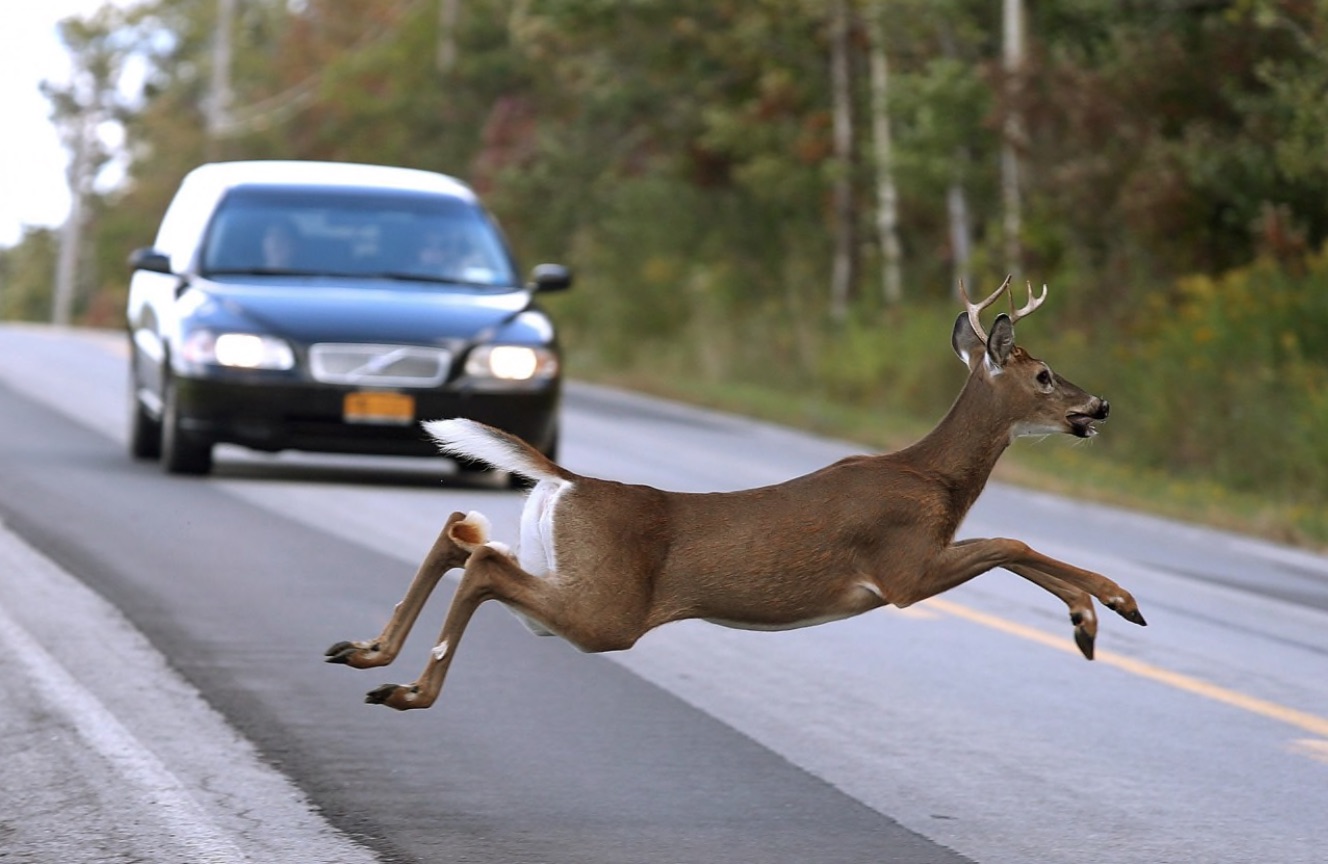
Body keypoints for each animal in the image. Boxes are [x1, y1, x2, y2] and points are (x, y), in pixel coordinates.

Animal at [326, 277, 1146, 710]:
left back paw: (366, 653)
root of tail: (572, 481)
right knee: (484, 563)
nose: (1100, 405)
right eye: (1043, 375)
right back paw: (408, 690)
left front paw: (1095, 614)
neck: (934, 479)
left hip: (569, 574)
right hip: (607, 610)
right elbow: (1012, 540)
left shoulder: (915, 564)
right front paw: (1106, 607)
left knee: (462, 532)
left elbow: (1013, 545)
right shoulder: (902, 568)